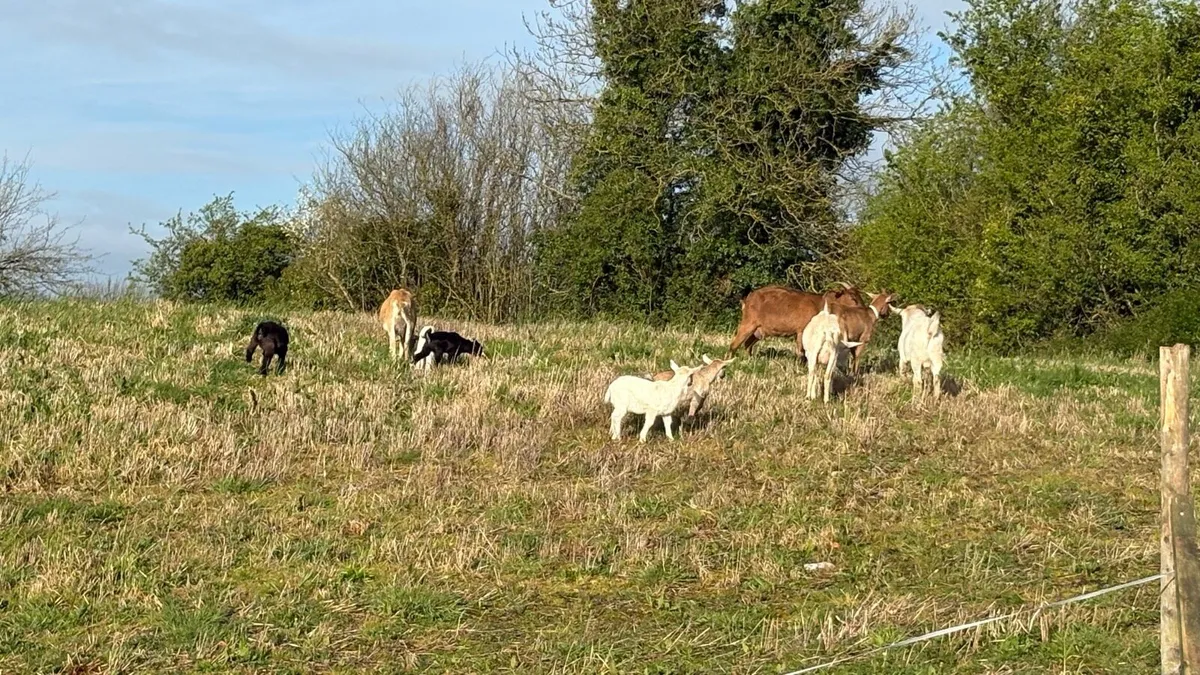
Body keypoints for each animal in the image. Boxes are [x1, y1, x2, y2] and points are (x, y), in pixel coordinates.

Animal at [728, 282, 865, 359]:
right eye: (852, 297)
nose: (863, 307)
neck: (819, 304)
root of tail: (748, 299)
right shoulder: (801, 331)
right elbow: (801, 351)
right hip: (748, 323)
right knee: (734, 344)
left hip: (758, 331)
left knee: (747, 344)